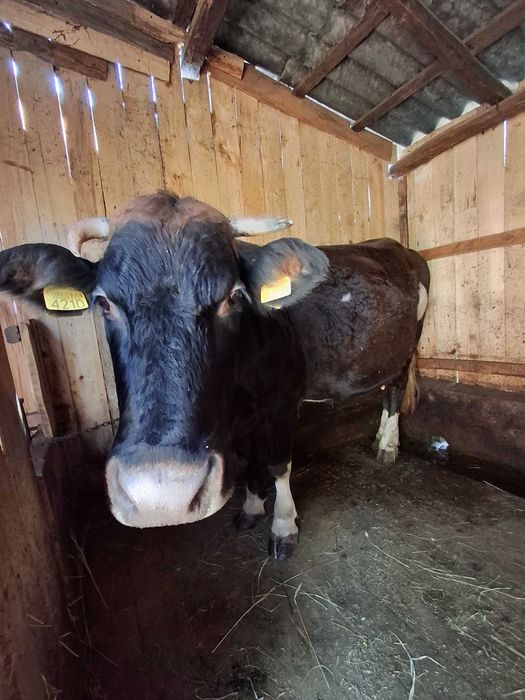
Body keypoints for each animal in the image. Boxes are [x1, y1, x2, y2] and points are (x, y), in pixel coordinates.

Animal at [0, 192, 429, 559]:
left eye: (235, 296)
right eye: (103, 302)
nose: (163, 496)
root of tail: (399, 247)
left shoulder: (283, 403)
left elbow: (278, 465)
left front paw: (283, 526)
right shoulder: (237, 422)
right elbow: (249, 462)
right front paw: (252, 508)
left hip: (408, 348)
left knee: (395, 390)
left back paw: (388, 446)